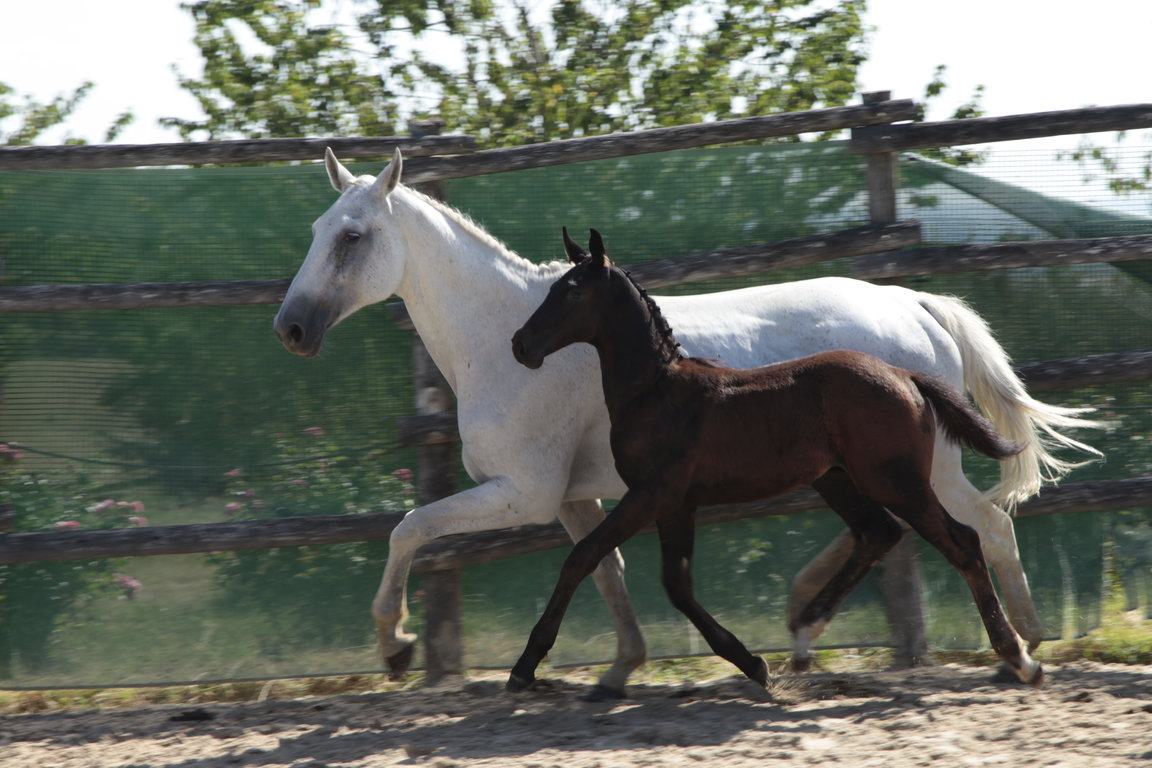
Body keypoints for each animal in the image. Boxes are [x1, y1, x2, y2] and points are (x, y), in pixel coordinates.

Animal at [274, 149, 1101, 704]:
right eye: (315, 227)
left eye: (352, 235)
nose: (292, 328)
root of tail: (916, 303)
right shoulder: (580, 497)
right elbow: (605, 571)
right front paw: (618, 668)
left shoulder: (523, 492)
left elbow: (410, 528)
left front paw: (396, 646)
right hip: (857, 471)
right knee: (892, 532)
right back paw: (807, 628)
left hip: (920, 469)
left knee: (981, 527)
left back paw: (1023, 647)